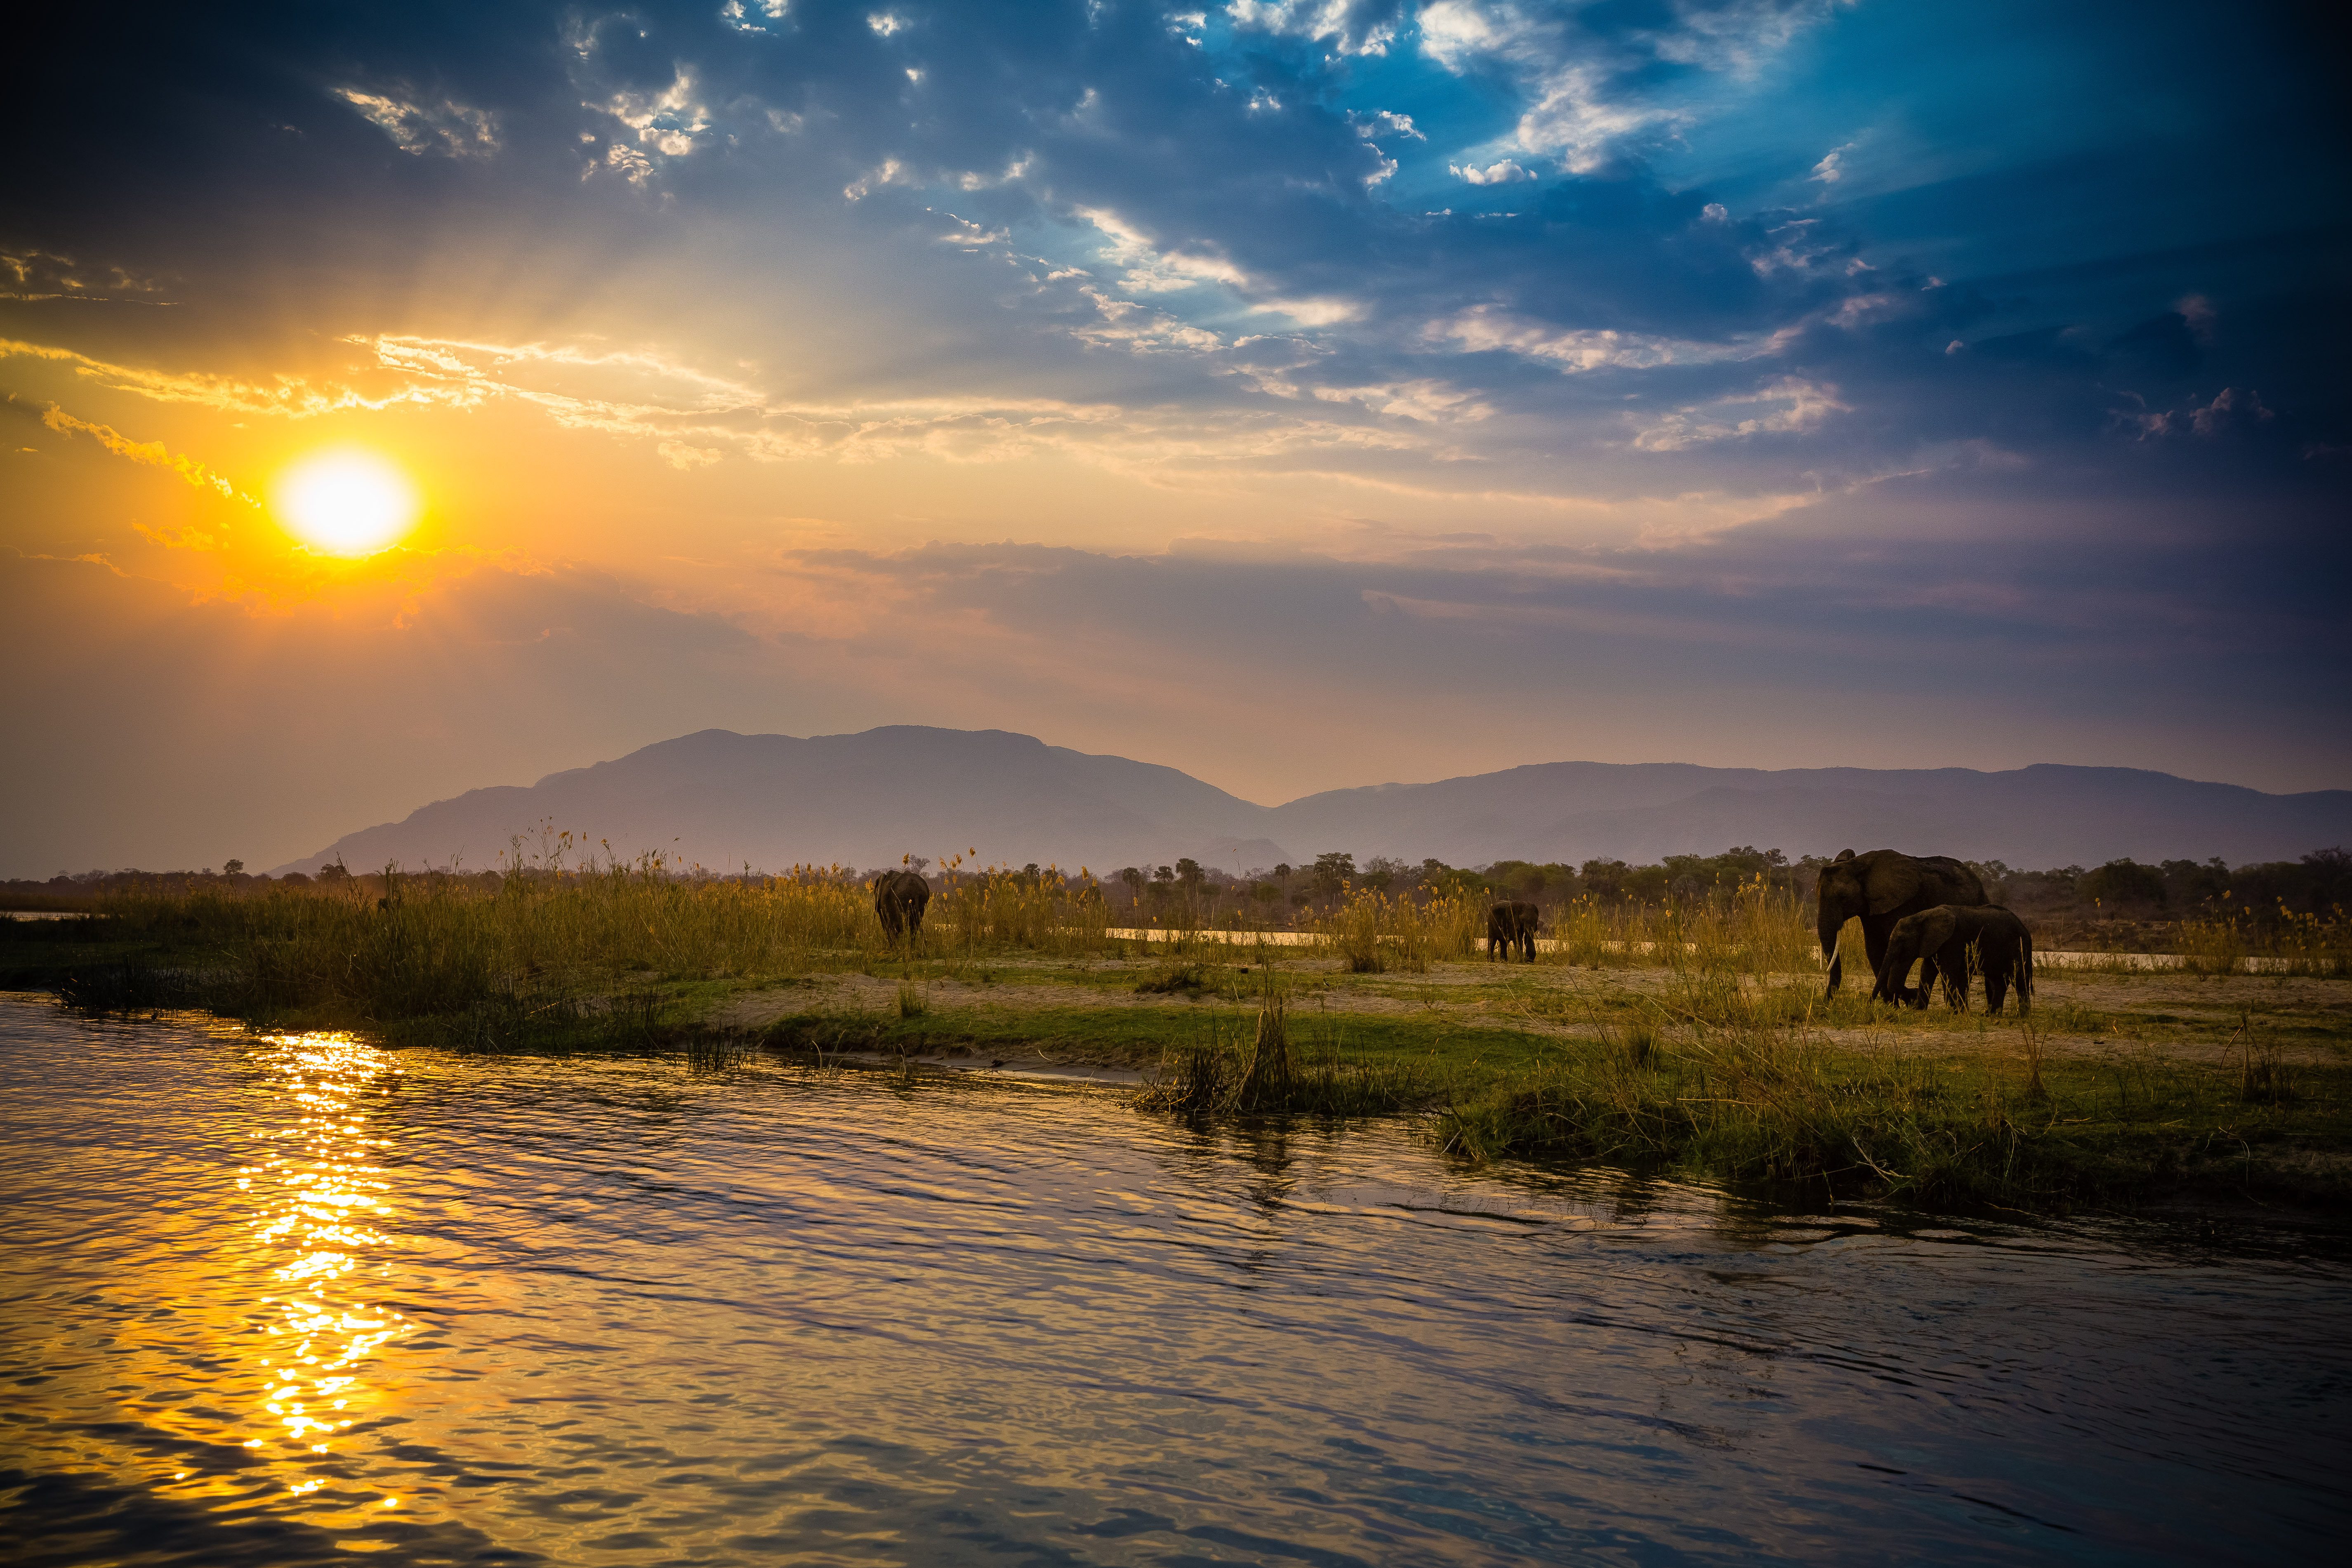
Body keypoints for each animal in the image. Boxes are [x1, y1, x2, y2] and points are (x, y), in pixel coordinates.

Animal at [1486, 903, 1543, 964]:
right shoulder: (1513, 920)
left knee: (1504, 942)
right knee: (1492, 940)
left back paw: (1504, 961)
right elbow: (1517, 938)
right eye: (1522, 920)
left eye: (1536, 920)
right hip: (1491, 921)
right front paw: (1520, 961)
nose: (1529, 960)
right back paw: (1491, 961)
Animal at [1815, 851, 1985, 1001]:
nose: (1827, 1002)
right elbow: (1874, 950)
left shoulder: (1900, 905)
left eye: (1843, 898)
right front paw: (1892, 1006)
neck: (1856, 865)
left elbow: (1898, 949)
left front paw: (1910, 997)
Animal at [1881, 907, 2032, 1020]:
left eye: (1902, 941)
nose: (1912, 998)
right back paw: (1989, 1015)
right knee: (1999, 981)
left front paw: (1952, 1013)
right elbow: (1927, 971)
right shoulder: (1935, 943)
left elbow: (1947, 972)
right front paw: (1919, 1009)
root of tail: (2026, 929)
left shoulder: (1953, 941)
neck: (1923, 916)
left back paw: (2020, 1016)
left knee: (2019, 979)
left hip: (2019, 948)